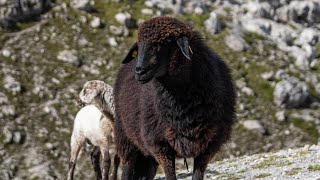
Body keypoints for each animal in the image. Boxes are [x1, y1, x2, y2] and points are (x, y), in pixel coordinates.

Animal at [114, 16, 236, 180]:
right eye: (138, 46)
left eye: (163, 43)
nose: (139, 71)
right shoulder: (160, 144)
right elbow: (170, 175)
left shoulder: (210, 144)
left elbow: (198, 175)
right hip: (125, 137)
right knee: (127, 166)